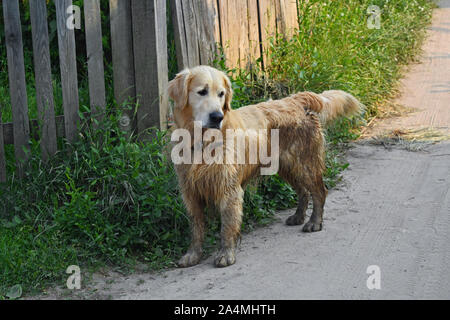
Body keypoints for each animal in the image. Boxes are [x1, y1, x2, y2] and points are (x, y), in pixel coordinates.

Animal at [168, 65, 362, 268]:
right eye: (202, 92)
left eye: (221, 94)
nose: (217, 116)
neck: (202, 141)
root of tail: (297, 99)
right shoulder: (190, 191)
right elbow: (196, 227)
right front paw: (193, 254)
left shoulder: (229, 189)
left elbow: (227, 226)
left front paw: (226, 254)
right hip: (287, 167)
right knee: (303, 191)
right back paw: (298, 217)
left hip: (304, 163)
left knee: (319, 191)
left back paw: (314, 222)